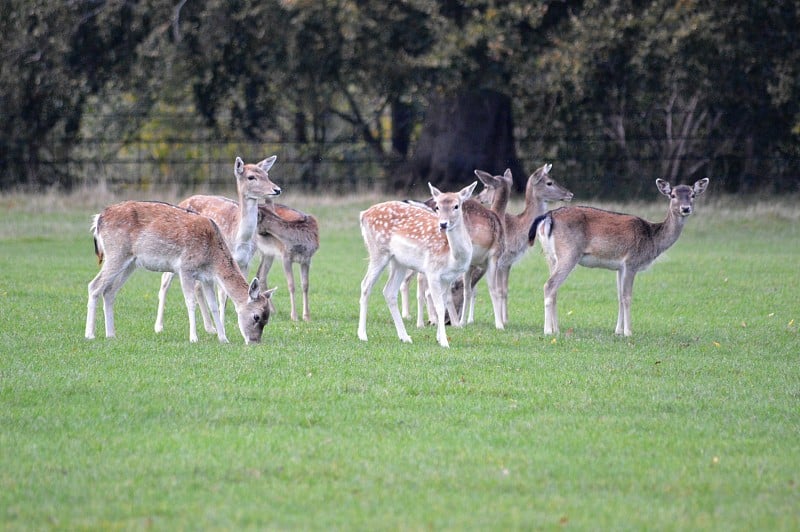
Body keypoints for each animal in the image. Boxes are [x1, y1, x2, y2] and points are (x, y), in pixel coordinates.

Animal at [86, 201, 276, 344]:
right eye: (257, 316)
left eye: (267, 318)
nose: (254, 341)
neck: (212, 258)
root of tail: (98, 219)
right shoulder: (185, 267)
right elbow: (190, 302)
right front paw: (194, 338)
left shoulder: (207, 278)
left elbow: (213, 306)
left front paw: (223, 338)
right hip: (116, 253)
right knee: (94, 286)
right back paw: (90, 334)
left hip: (131, 262)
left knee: (109, 291)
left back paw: (111, 334)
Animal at [153, 155, 282, 336]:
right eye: (251, 177)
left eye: (266, 174)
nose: (277, 189)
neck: (239, 237)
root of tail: (183, 200)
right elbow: (222, 295)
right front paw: (224, 327)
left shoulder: (246, 261)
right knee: (165, 281)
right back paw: (159, 326)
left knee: (198, 286)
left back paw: (210, 327)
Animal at [356, 183, 476, 350]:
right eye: (437, 206)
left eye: (456, 206)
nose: (443, 224)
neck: (453, 256)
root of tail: (363, 214)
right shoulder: (432, 271)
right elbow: (439, 306)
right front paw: (444, 342)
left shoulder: (448, 278)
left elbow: (444, 303)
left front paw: (439, 337)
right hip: (378, 251)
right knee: (366, 285)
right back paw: (362, 335)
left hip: (399, 262)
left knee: (389, 291)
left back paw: (405, 337)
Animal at [532, 179, 708, 336]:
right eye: (672, 195)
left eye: (693, 195)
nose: (685, 208)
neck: (652, 238)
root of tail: (549, 216)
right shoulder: (631, 262)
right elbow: (627, 297)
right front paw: (628, 332)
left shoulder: (619, 267)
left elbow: (619, 297)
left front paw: (617, 331)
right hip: (569, 253)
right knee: (549, 285)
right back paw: (548, 331)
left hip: (550, 256)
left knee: (554, 289)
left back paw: (556, 329)